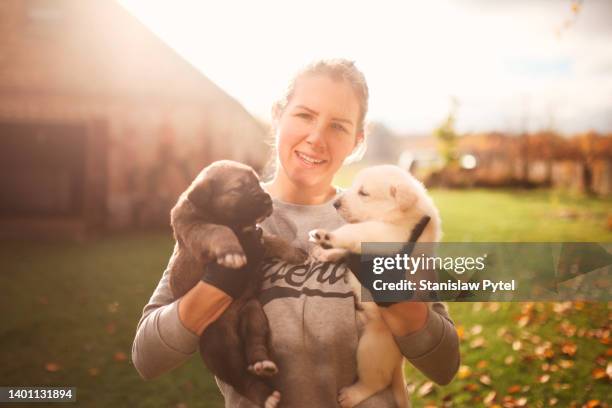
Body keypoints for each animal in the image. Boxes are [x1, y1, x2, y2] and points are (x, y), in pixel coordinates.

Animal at [169, 160, 304, 408]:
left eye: (258, 184)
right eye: (237, 189)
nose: (267, 199)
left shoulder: (256, 237)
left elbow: (272, 239)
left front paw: (294, 252)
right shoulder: (197, 228)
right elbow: (218, 230)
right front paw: (232, 252)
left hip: (253, 311)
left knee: (255, 341)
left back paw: (263, 365)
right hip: (218, 345)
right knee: (239, 377)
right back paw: (266, 395)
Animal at [308, 165, 442, 408]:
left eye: (364, 193)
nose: (335, 203)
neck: (399, 216)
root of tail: (399, 361)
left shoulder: (391, 235)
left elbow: (359, 231)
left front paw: (327, 236)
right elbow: (348, 248)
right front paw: (325, 251)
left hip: (373, 347)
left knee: (377, 382)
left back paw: (352, 395)